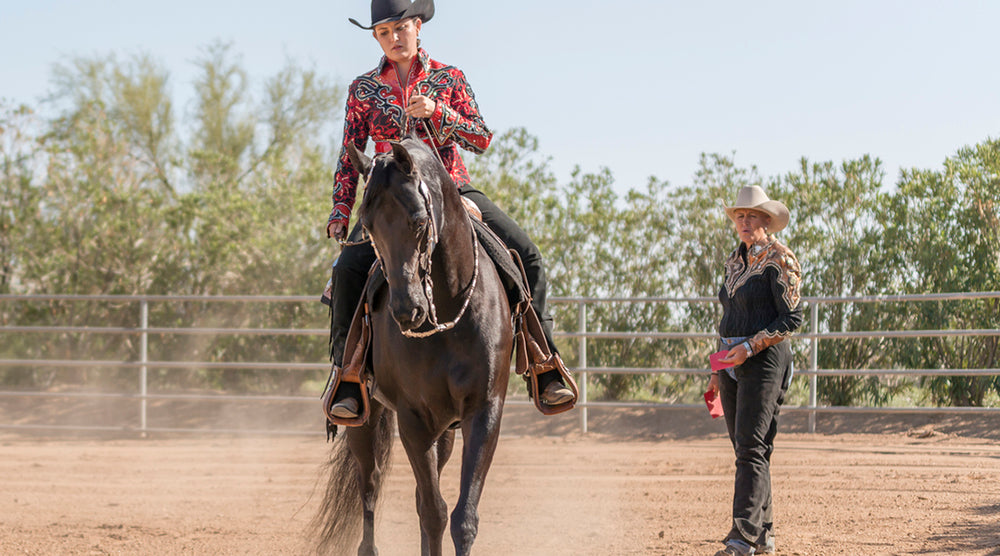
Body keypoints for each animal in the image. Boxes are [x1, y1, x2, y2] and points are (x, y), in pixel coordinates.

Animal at [312, 136, 516, 556]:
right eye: (368, 226)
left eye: (420, 220)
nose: (407, 310)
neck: (449, 313)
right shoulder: (412, 418)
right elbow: (434, 512)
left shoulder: (485, 409)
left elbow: (461, 517)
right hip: (364, 418)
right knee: (371, 484)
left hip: (446, 429)